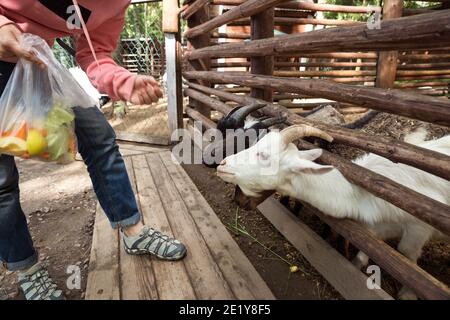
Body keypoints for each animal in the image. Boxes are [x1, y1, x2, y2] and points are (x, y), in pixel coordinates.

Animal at [216, 125, 448, 300]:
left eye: (263, 155)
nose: (222, 164)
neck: (359, 195)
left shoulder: (417, 229)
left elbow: (408, 256)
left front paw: (407, 294)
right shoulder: (374, 229)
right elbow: (364, 254)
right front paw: (354, 267)